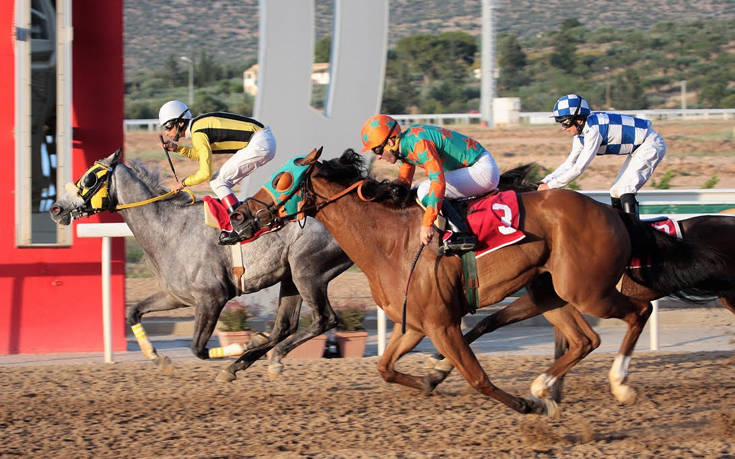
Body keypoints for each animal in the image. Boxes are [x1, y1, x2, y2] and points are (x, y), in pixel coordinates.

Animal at [49, 151, 354, 378]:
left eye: (89, 177)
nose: (55, 209)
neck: (169, 228)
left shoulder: (212, 297)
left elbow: (198, 348)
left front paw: (250, 341)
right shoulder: (176, 295)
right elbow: (134, 312)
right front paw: (156, 358)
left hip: (307, 272)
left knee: (324, 319)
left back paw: (262, 357)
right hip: (291, 277)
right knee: (286, 326)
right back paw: (259, 361)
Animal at [227, 150, 732, 416]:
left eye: (281, 179)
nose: (238, 217)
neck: (390, 242)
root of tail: (612, 213)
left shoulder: (442, 324)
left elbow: (478, 377)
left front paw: (521, 406)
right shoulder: (414, 325)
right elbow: (386, 368)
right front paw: (428, 380)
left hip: (588, 290)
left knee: (637, 313)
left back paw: (617, 384)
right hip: (552, 291)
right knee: (584, 339)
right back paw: (546, 386)